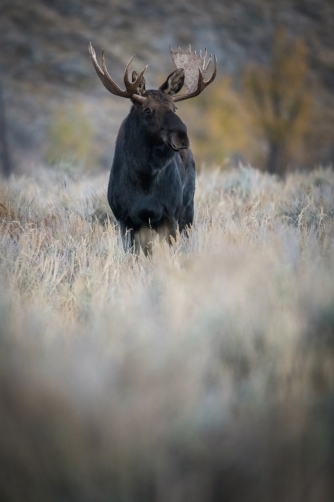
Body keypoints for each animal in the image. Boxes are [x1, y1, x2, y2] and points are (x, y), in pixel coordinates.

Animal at [88, 43, 217, 255]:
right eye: (147, 110)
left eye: (175, 108)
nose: (182, 136)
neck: (144, 177)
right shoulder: (125, 219)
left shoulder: (168, 215)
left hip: (187, 207)